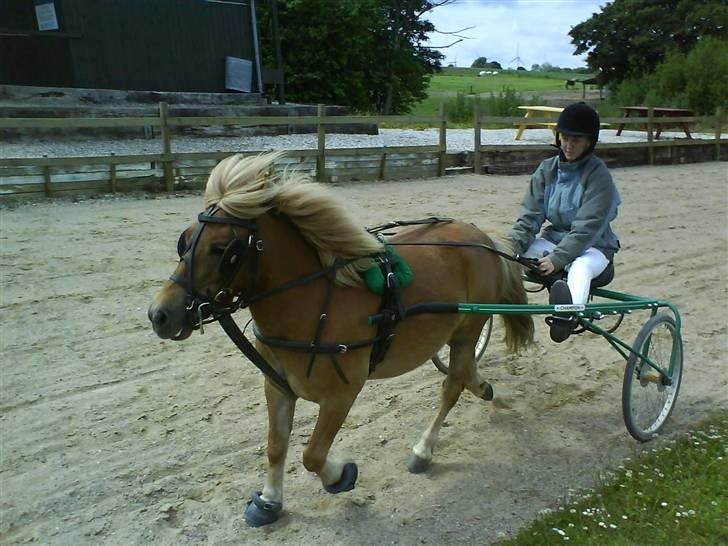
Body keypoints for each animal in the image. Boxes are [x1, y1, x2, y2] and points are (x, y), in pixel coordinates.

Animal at [148, 151, 536, 524]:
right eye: (184, 240)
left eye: (221, 249)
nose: (159, 314)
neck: (312, 302)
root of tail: (483, 239)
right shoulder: (277, 387)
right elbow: (276, 445)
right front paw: (270, 500)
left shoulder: (342, 394)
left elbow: (312, 454)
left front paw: (339, 476)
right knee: (465, 371)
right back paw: (481, 386)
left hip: (467, 329)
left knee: (452, 386)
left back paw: (424, 449)